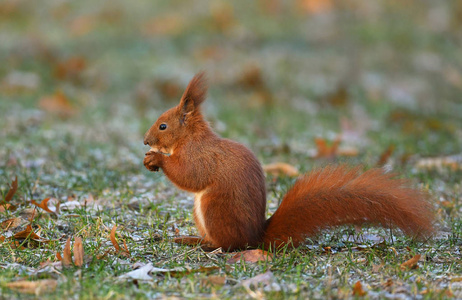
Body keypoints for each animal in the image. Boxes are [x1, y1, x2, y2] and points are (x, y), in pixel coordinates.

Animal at [143, 72, 434, 251]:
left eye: (163, 125)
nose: (145, 142)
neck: (191, 138)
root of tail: (255, 238)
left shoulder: (200, 157)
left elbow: (190, 175)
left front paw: (157, 159)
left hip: (214, 209)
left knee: (229, 245)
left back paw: (206, 245)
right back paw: (191, 238)